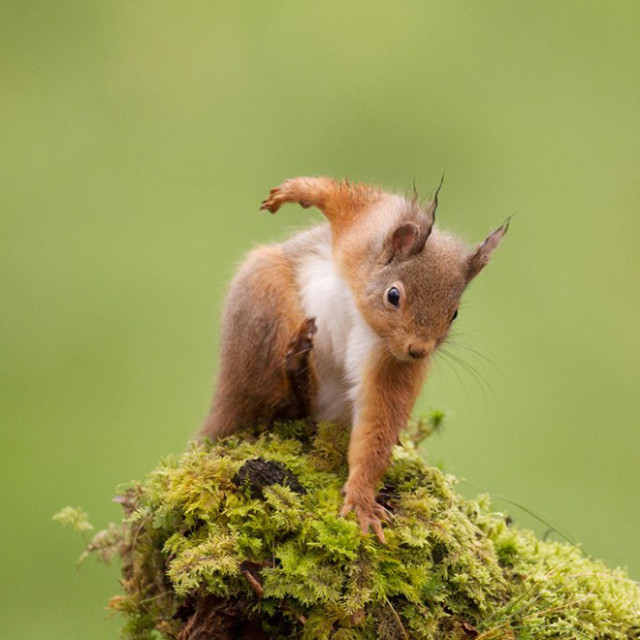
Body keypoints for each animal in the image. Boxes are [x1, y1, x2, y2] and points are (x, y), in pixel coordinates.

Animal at [202, 178, 508, 544]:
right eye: (394, 295)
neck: (361, 312)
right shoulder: (363, 231)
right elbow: (341, 197)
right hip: (264, 296)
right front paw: (293, 192)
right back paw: (297, 362)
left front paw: (361, 498)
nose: (418, 350)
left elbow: (377, 424)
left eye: (454, 314)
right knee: (272, 396)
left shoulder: (390, 364)